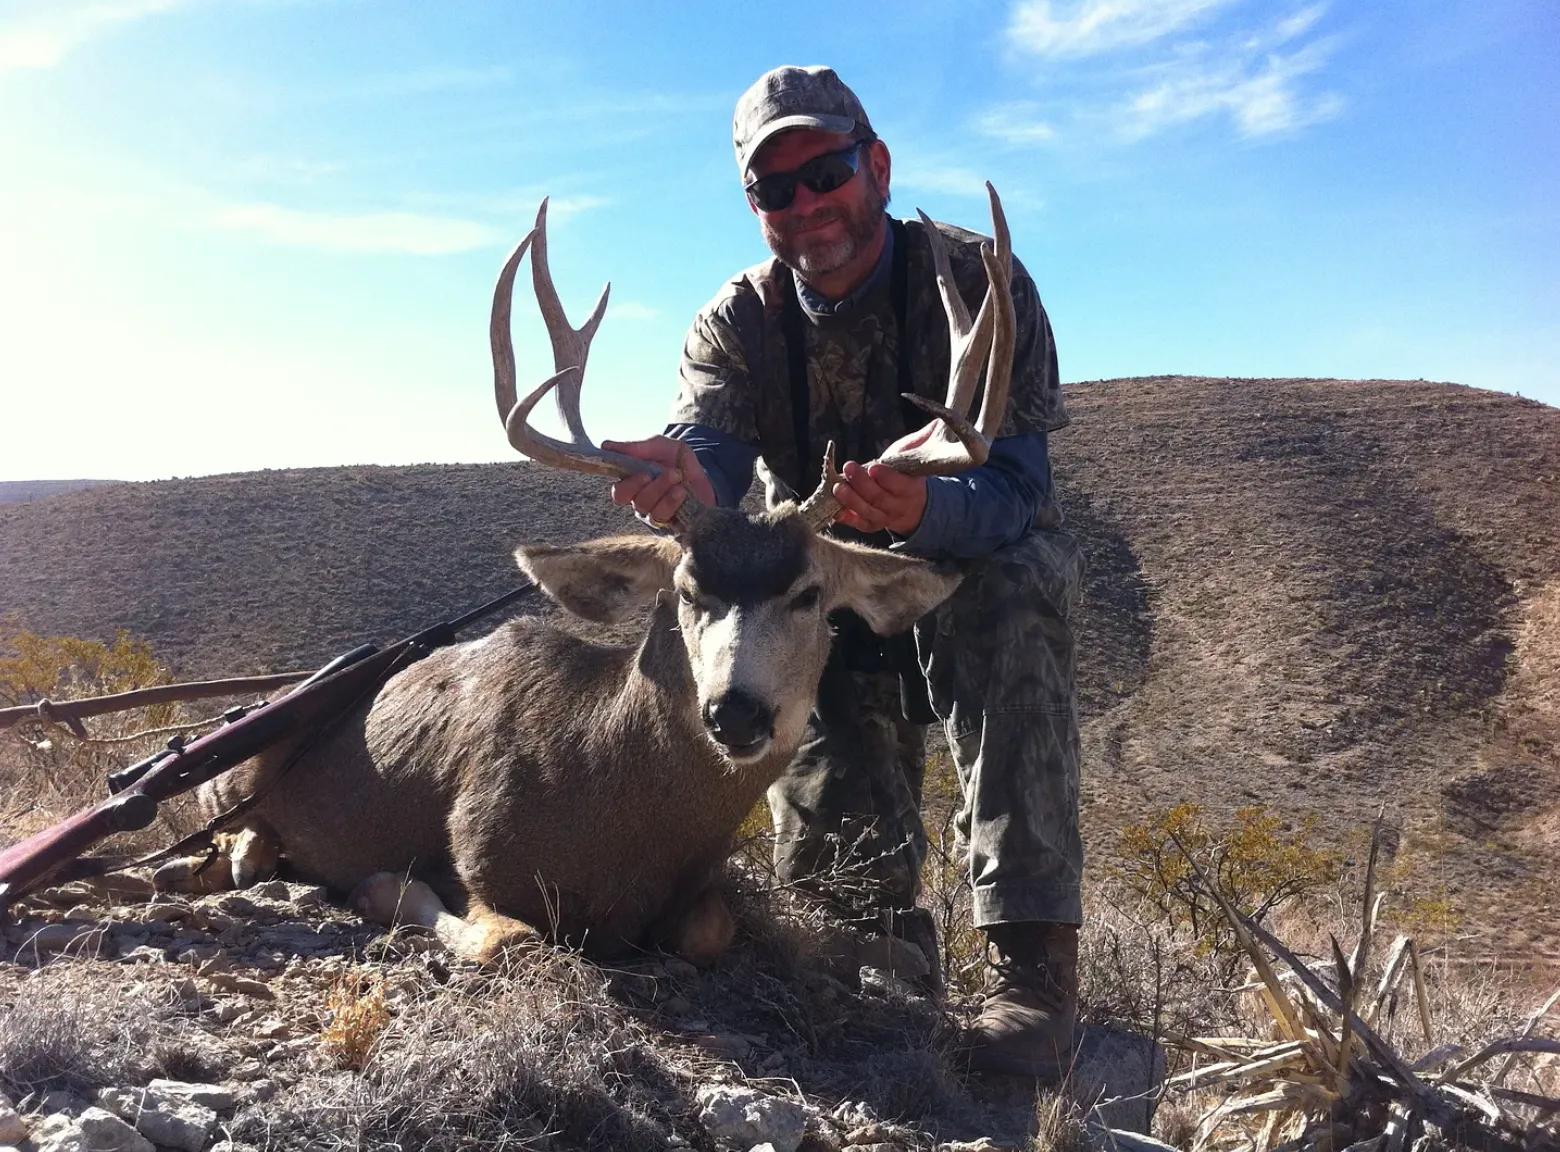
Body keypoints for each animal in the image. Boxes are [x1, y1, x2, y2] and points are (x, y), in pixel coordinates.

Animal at [169, 186, 1018, 967]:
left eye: (810, 595)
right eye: (686, 592)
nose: (735, 713)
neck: (607, 811)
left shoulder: (694, 895)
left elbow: (708, 930)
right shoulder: (473, 848)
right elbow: (501, 935)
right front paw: (379, 888)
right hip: (228, 776)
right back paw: (239, 856)